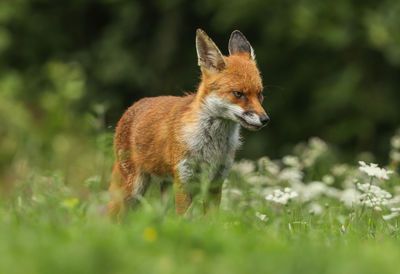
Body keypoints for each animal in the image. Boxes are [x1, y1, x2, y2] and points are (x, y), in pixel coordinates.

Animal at [108, 28, 268, 218]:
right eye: (238, 93)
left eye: (260, 94)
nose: (265, 119)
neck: (212, 146)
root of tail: (132, 107)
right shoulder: (184, 180)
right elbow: (184, 219)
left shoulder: (215, 183)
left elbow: (211, 221)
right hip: (133, 189)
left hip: (164, 190)